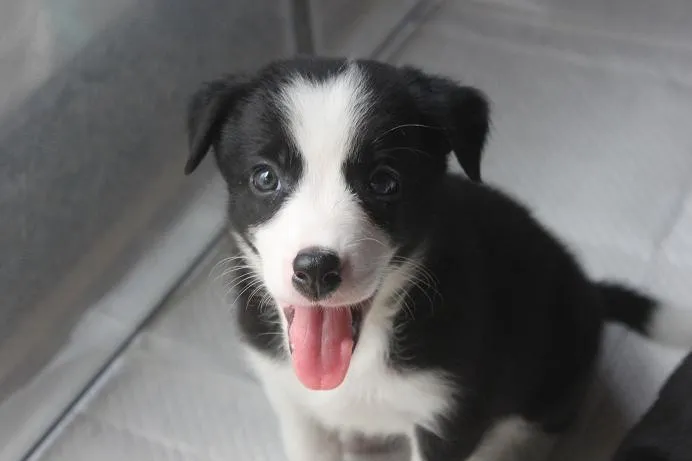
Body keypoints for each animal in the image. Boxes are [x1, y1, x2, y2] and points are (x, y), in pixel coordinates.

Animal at [184, 57, 692, 460]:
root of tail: (589, 290)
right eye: (265, 177)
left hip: (558, 364)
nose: (315, 270)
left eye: (385, 182)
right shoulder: (296, 406)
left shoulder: (449, 416)